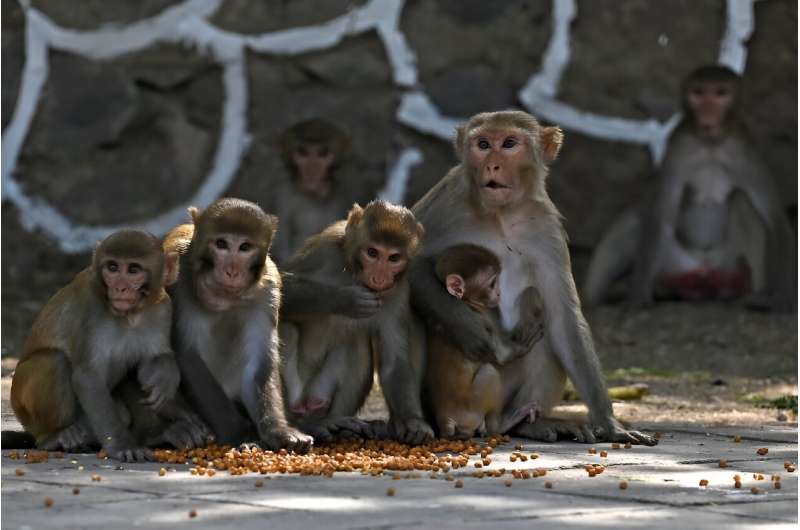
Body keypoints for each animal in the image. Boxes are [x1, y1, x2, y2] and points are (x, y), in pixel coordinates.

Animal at [10, 230, 209, 458]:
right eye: (112, 267)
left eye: (133, 270)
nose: (119, 288)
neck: (130, 316)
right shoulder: (90, 307)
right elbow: (88, 377)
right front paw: (124, 446)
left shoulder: (162, 309)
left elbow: (153, 361)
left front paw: (165, 379)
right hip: (25, 407)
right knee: (55, 361)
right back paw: (54, 437)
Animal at [424, 243, 544, 438]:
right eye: (492, 283)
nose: (499, 293)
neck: (467, 302)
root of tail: (446, 420)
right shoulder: (482, 319)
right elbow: (503, 355)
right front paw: (527, 336)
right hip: (472, 408)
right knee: (490, 371)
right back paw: (502, 425)